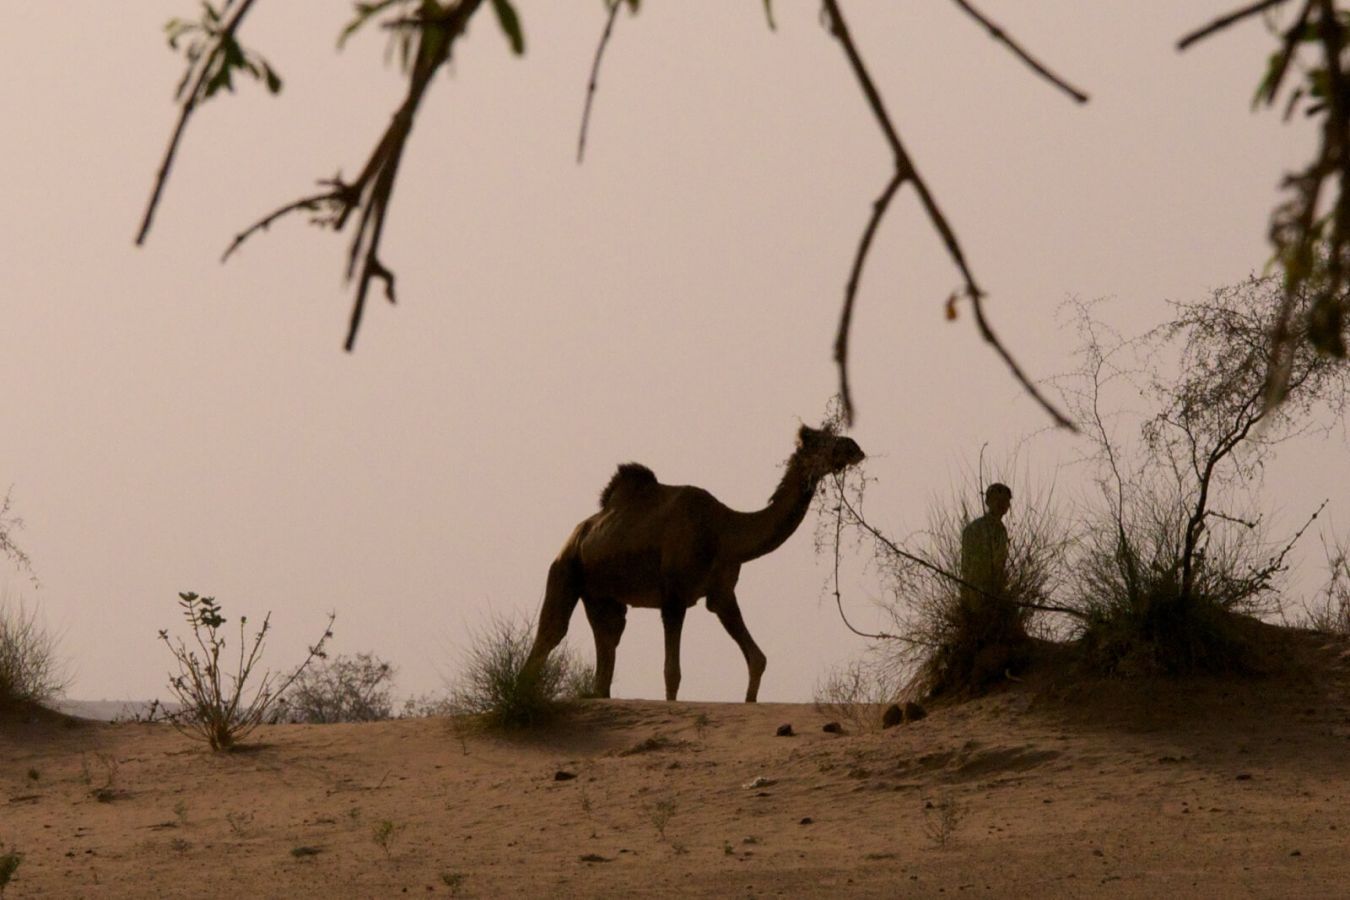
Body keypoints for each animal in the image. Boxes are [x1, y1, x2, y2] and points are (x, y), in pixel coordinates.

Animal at [518, 423, 864, 701]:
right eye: (821, 441)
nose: (854, 447)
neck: (725, 530)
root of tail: (578, 534)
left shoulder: (721, 593)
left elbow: (757, 658)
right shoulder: (674, 595)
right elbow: (672, 672)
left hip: (601, 596)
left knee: (607, 647)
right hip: (565, 569)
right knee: (551, 633)